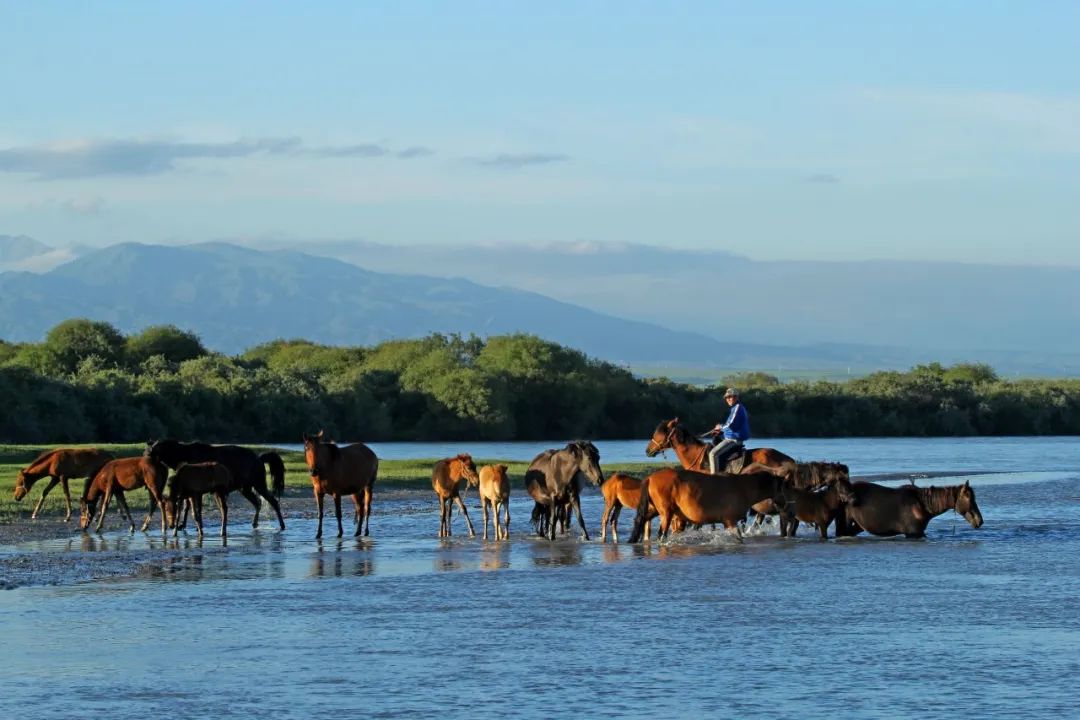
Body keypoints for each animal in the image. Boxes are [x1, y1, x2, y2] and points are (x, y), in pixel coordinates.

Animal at [626, 464, 786, 544]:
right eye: (784, 487)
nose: (785, 504)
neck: (741, 487)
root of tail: (650, 478)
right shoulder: (730, 521)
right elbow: (738, 537)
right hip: (666, 513)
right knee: (661, 535)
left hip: (654, 510)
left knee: (640, 521)